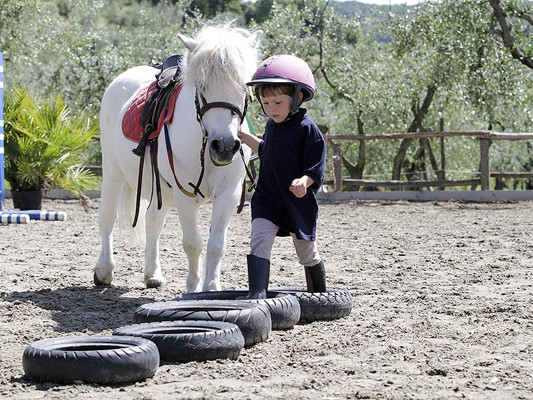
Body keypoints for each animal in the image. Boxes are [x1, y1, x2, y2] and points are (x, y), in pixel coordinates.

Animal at [96, 25, 264, 292]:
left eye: (243, 87)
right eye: (201, 85)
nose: (225, 146)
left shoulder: (228, 194)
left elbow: (216, 245)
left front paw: (211, 289)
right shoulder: (185, 195)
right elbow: (193, 243)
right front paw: (193, 288)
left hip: (159, 189)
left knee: (152, 223)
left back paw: (152, 273)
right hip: (113, 175)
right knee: (107, 218)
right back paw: (103, 270)